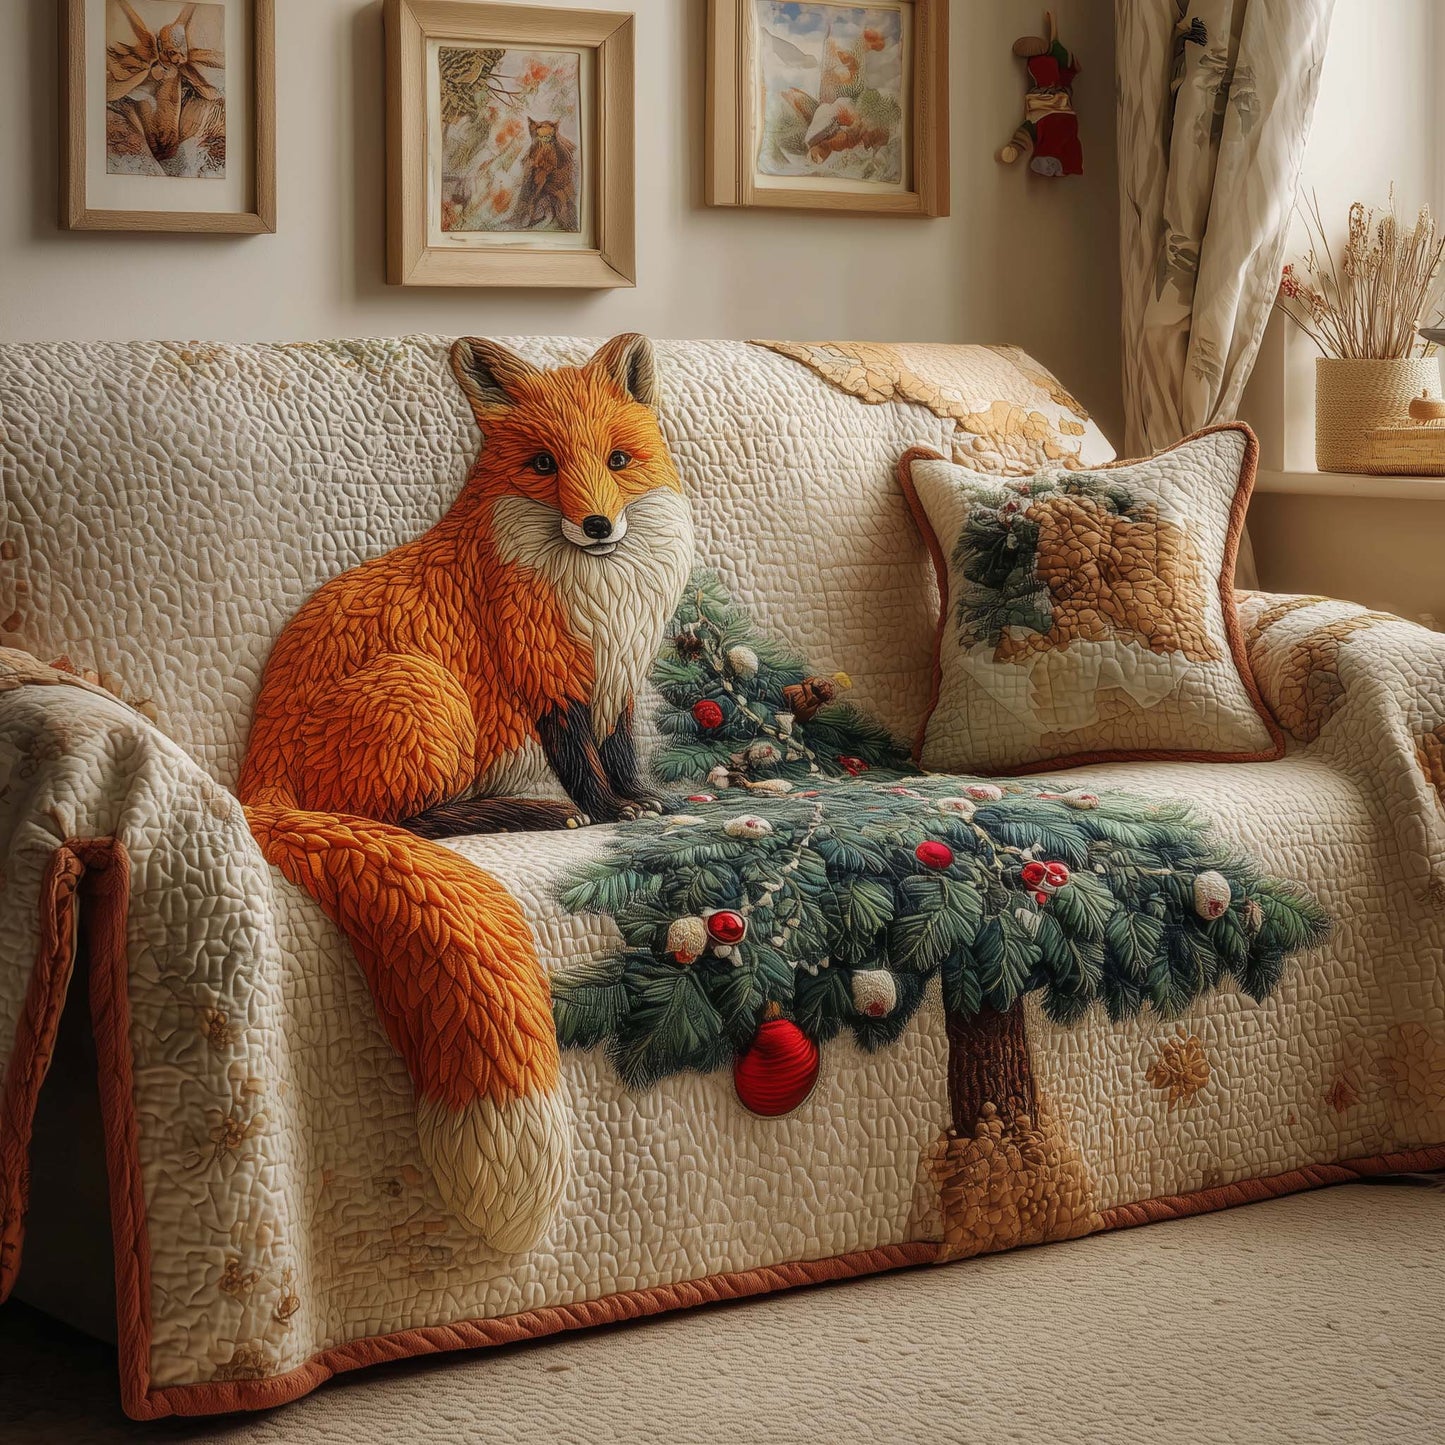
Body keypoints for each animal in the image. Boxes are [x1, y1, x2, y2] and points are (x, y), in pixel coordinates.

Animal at [238, 334, 696, 1251]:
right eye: (542, 464)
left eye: (618, 460)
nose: (598, 526)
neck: (593, 591)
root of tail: (253, 779)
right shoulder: (547, 676)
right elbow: (581, 762)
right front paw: (604, 811)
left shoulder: (616, 680)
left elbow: (620, 749)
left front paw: (641, 796)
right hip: (427, 691)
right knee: (402, 821)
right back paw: (521, 813)